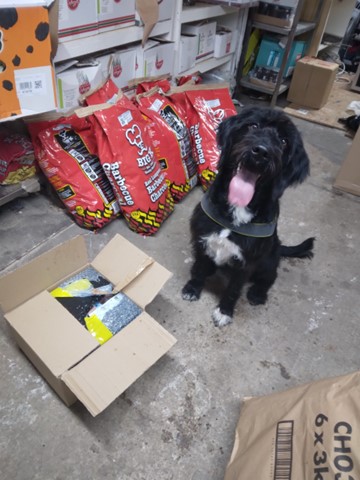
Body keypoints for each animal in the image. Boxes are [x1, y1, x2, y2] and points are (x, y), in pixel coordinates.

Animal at [181, 106, 314, 326]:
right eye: (253, 125)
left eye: (283, 140)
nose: (261, 152)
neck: (236, 211)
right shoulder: (202, 240)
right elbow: (199, 268)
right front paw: (192, 288)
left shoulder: (247, 263)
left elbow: (234, 288)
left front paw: (224, 311)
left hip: (270, 258)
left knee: (270, 277)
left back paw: (258, 293)